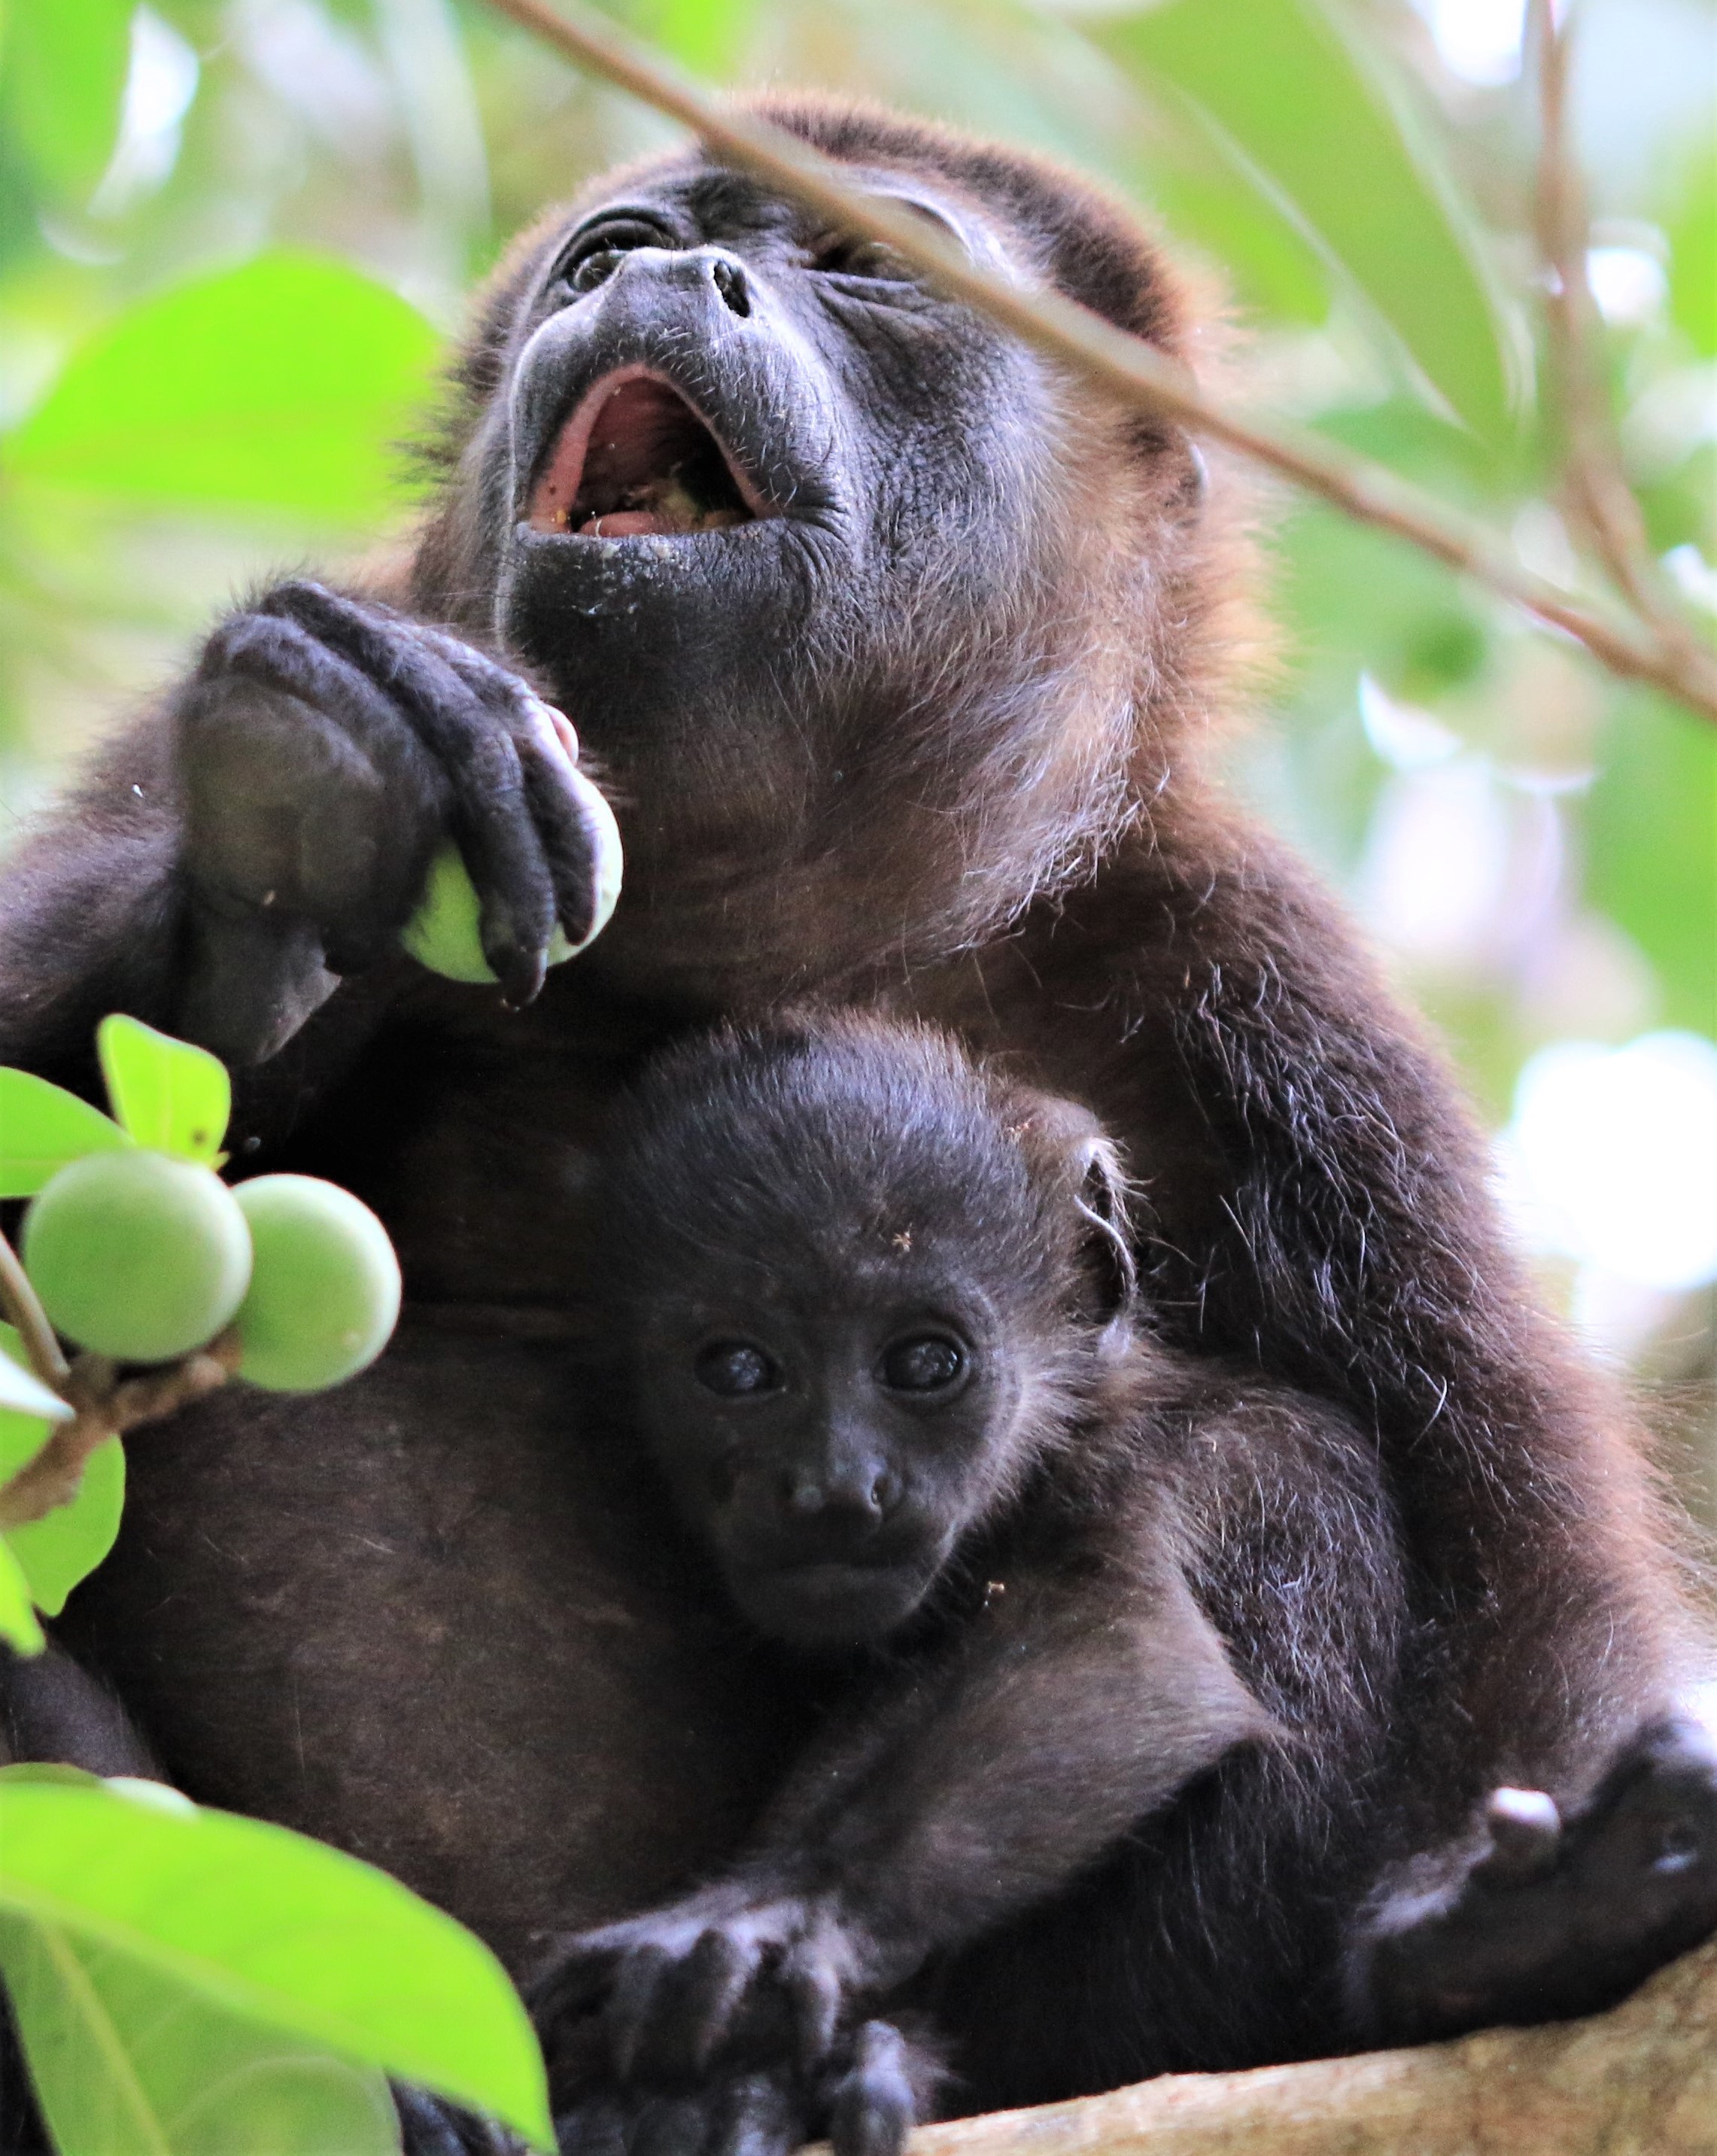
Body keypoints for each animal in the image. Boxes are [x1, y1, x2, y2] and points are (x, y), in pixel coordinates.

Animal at [0, 96, 1706, 2156]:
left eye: (869, 267)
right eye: (609, 251)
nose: (664, 271)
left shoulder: (1264, 997)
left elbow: (1506, 1528)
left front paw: (1513, 1928)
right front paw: (292, 812)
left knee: (1285, 1471)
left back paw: (782, 2076)